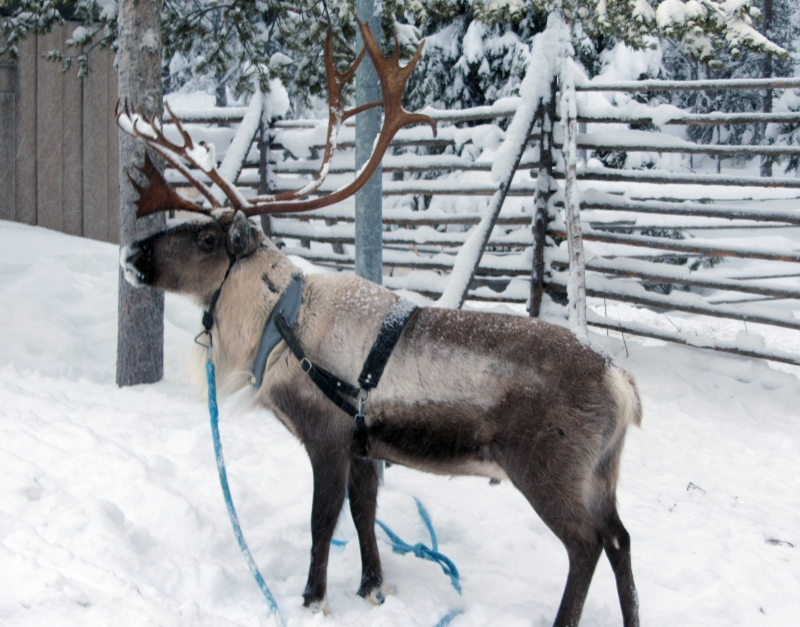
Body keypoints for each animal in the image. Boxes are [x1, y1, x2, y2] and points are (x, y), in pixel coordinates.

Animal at [117, 22, 642, 627]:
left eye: (206, 238)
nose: (132, 254)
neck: (278, 327)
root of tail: (621, 385)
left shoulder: (326, 437)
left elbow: (323, 522)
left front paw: (312, 599)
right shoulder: (366, 448)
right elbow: (364, 513)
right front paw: (372, 587)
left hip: (549, 470)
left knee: (587, 544)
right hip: (602, 474)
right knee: (621, 538)